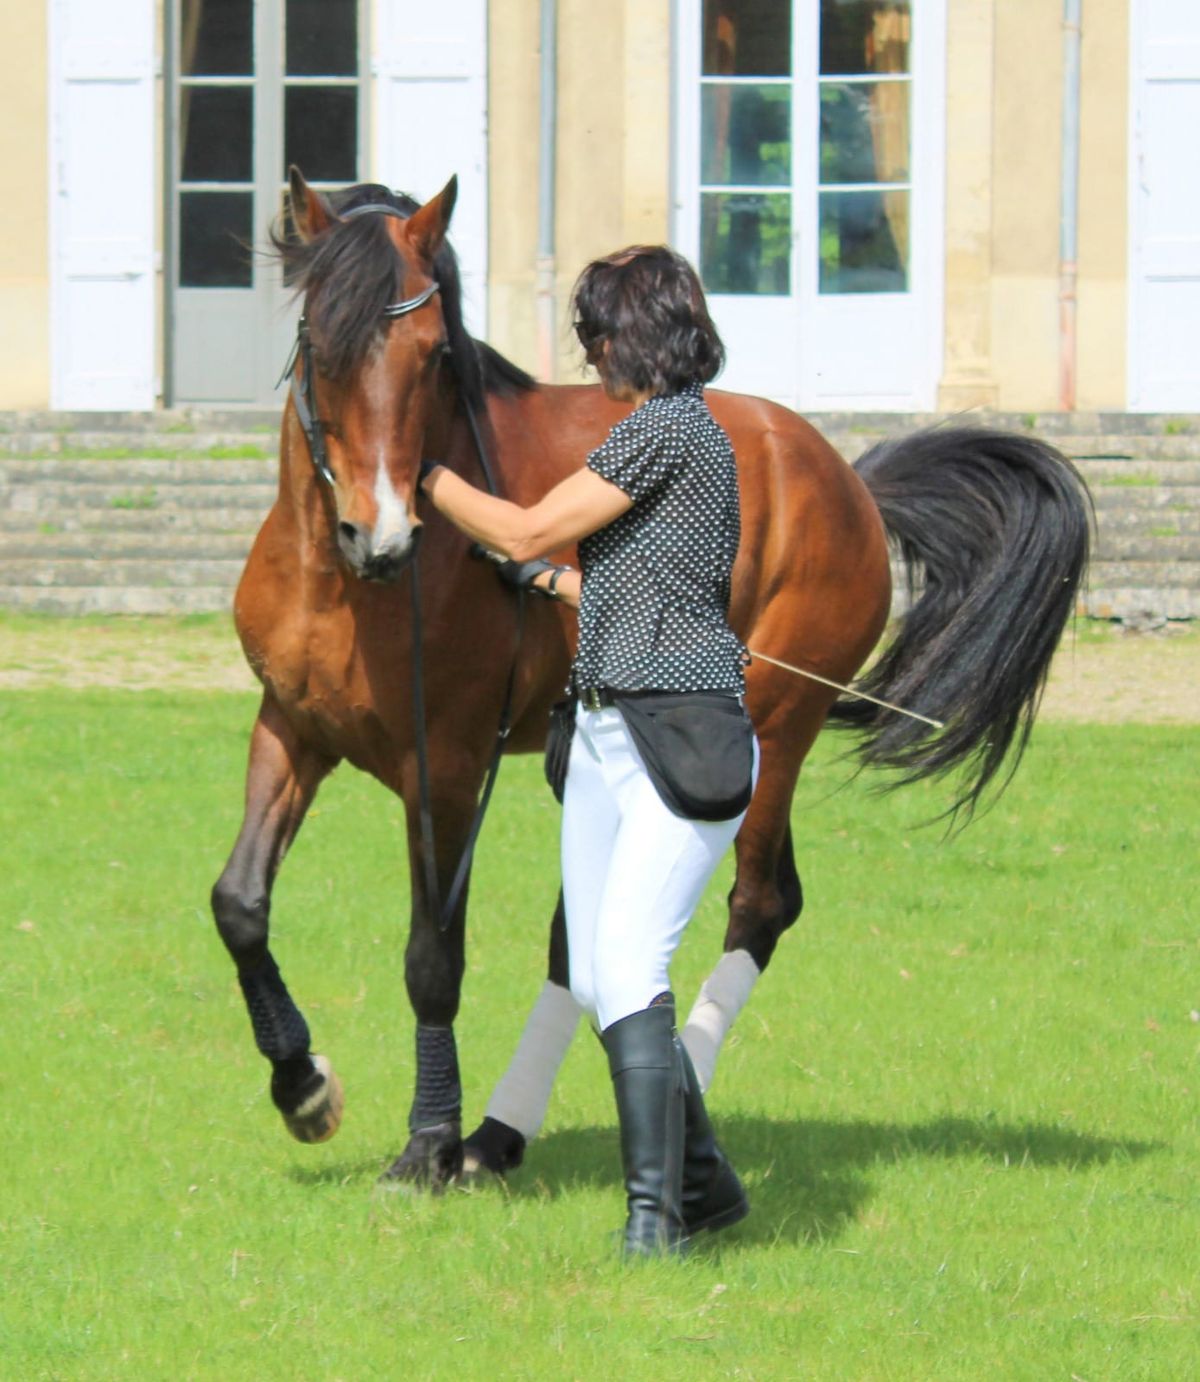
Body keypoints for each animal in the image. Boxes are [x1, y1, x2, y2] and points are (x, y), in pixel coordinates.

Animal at [211, 169, 1094, 1188]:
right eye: (322, 345)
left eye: (433, 356)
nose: (382, 534)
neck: (342, 583)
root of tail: (844, 476)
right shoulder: (290, 730)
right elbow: (240, 906)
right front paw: (303, 1089)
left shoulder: (449, 767)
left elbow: (434, 955)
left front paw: (426, 1142)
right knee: (589, 933)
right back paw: (501, 1135)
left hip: (766, 733)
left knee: (758, 902)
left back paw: (651, 1095)